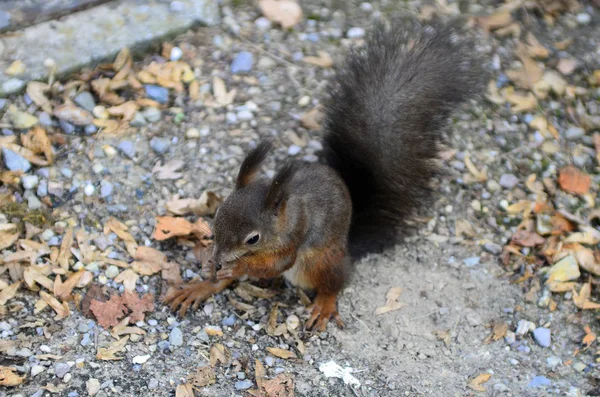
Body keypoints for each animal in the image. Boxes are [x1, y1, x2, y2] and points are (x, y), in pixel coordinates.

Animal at [164, 21, 482, 332]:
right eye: (216, 217)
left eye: (253, 238)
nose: (219, 258)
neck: (284, 213)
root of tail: (348, 249)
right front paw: (209, 264)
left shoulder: (294, 237)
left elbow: (273, 264)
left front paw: (238, 267)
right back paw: (200, 287)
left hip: (322, 261)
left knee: (334, 283)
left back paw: (325, 305)